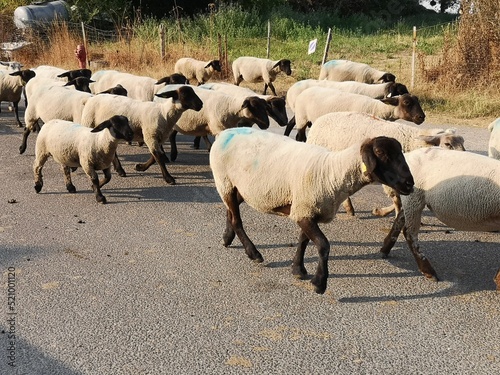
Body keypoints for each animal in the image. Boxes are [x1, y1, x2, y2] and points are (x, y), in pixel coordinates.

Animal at [208, 128, 414, 296]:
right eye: (380, 153)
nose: (409, 184)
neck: (332, 173)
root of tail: (224, 133)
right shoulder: (304, 210)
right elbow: (323, 244)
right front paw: (319, 283)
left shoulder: (305, 209)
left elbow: (304, 240)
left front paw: (298, 270)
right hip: (224, 180)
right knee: (236, 219)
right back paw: (253, 253)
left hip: (238, 186)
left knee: (231, 211)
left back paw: (227, 238)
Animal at [306, 111, 466, 217]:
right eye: (447, 144)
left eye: (463, 142)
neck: (414, 142)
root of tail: (320, 120)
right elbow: (397, 199)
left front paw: (380, 211)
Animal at [378, 146, 500, 288]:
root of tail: (408, 155)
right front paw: (498, 282)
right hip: (414, 196)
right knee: (409, 233)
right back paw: (428, 271)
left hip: (412, 198)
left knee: (399, 220)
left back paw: (385, 249)